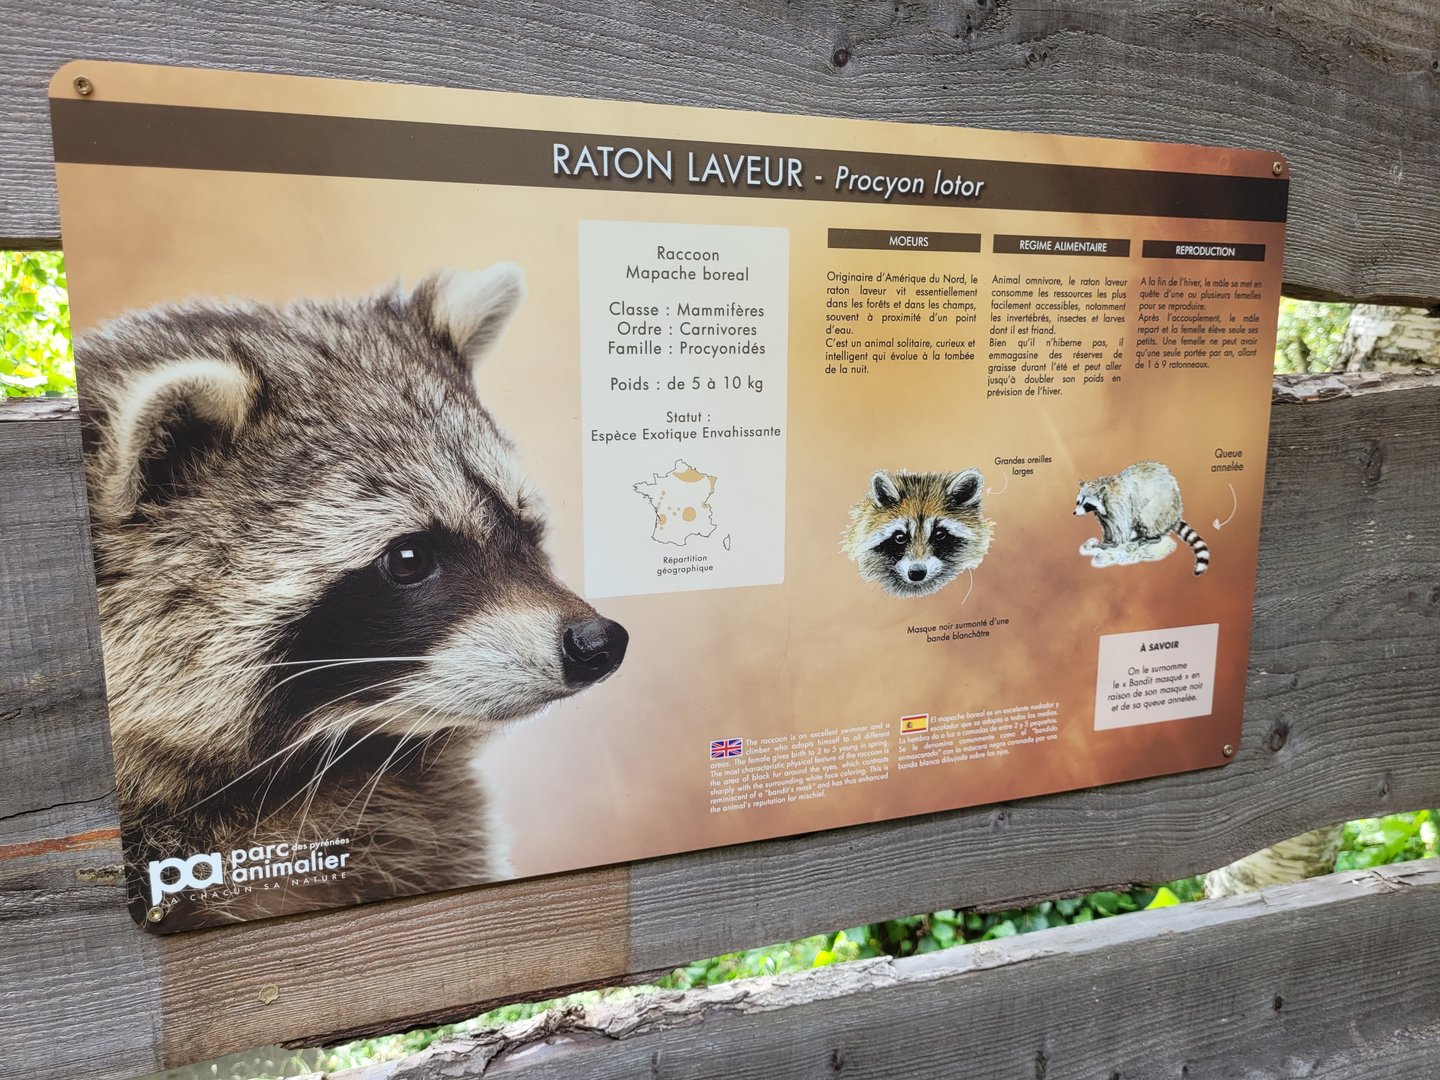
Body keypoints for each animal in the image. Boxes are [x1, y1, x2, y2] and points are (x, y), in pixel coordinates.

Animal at [1074, 460, 1209, 575]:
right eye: (1078, 502)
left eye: (1086, 504)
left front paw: (1112, 543)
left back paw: (1153, 538)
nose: (1074, 513)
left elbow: (1120, 527)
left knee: (1146, 517)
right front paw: (1106, 539)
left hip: (1160, 508)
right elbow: (1107, 526)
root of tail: (1175, 513)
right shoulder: (1102, 514)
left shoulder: (1117, 505)